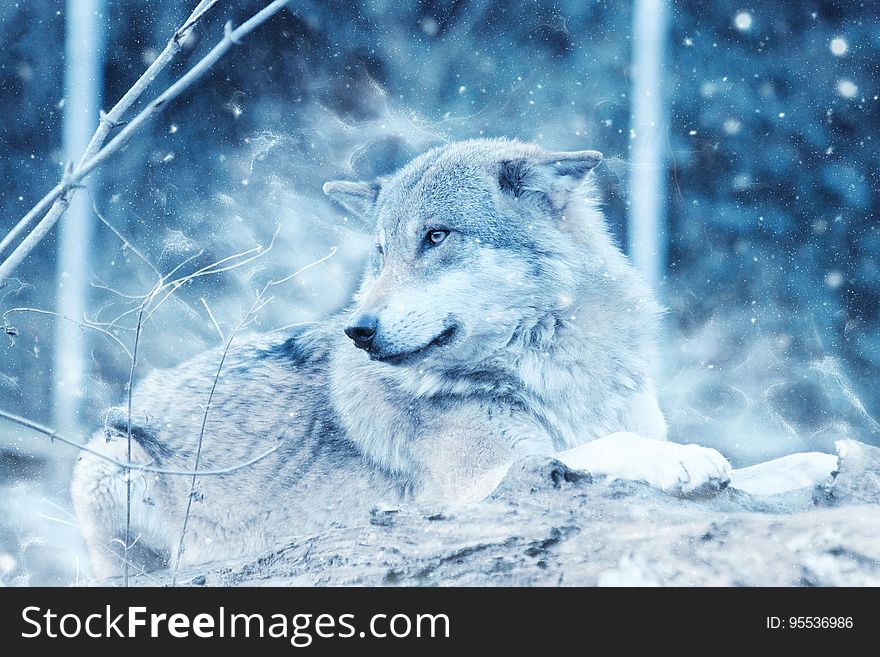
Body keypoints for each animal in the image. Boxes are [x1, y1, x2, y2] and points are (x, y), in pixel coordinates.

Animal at [70, 138, 728, 576]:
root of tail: (140, 393)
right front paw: (684, 458)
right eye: (381, 252)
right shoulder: (477, 485)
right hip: (110, 457)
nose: (358, 330)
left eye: (436, 237)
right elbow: (604, 447)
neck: (556, 372)